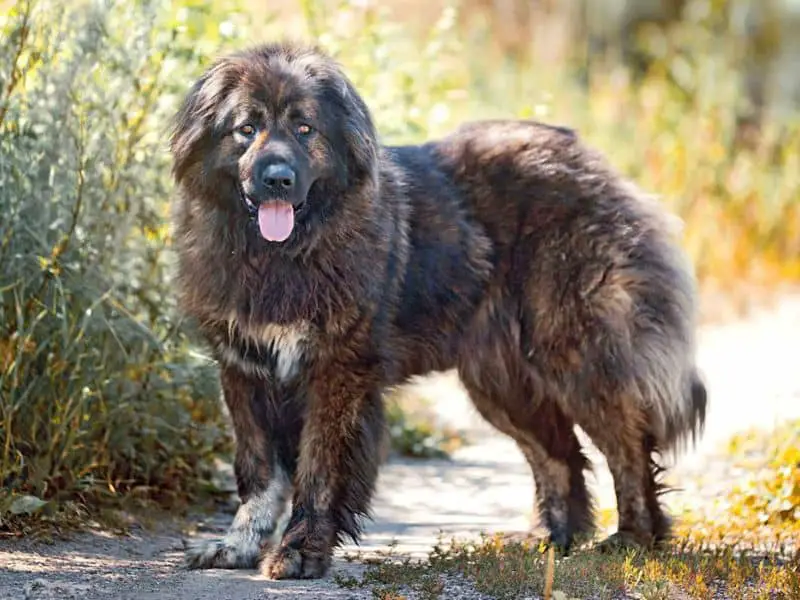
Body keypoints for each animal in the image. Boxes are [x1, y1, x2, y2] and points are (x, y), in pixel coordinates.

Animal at [170, 43, 708, 580]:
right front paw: (237, 546)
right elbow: (258, 472)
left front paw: (300, 551)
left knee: (626, 443)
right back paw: (553, 541)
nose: (278, 179)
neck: (281, 255)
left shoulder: (335, 372)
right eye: (246, 128)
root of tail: (593, 161)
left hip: (575, 353)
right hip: (500, 382)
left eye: (305, 129)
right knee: (559, 454)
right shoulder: (244, 369)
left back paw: (633, 538)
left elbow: (317, 471)